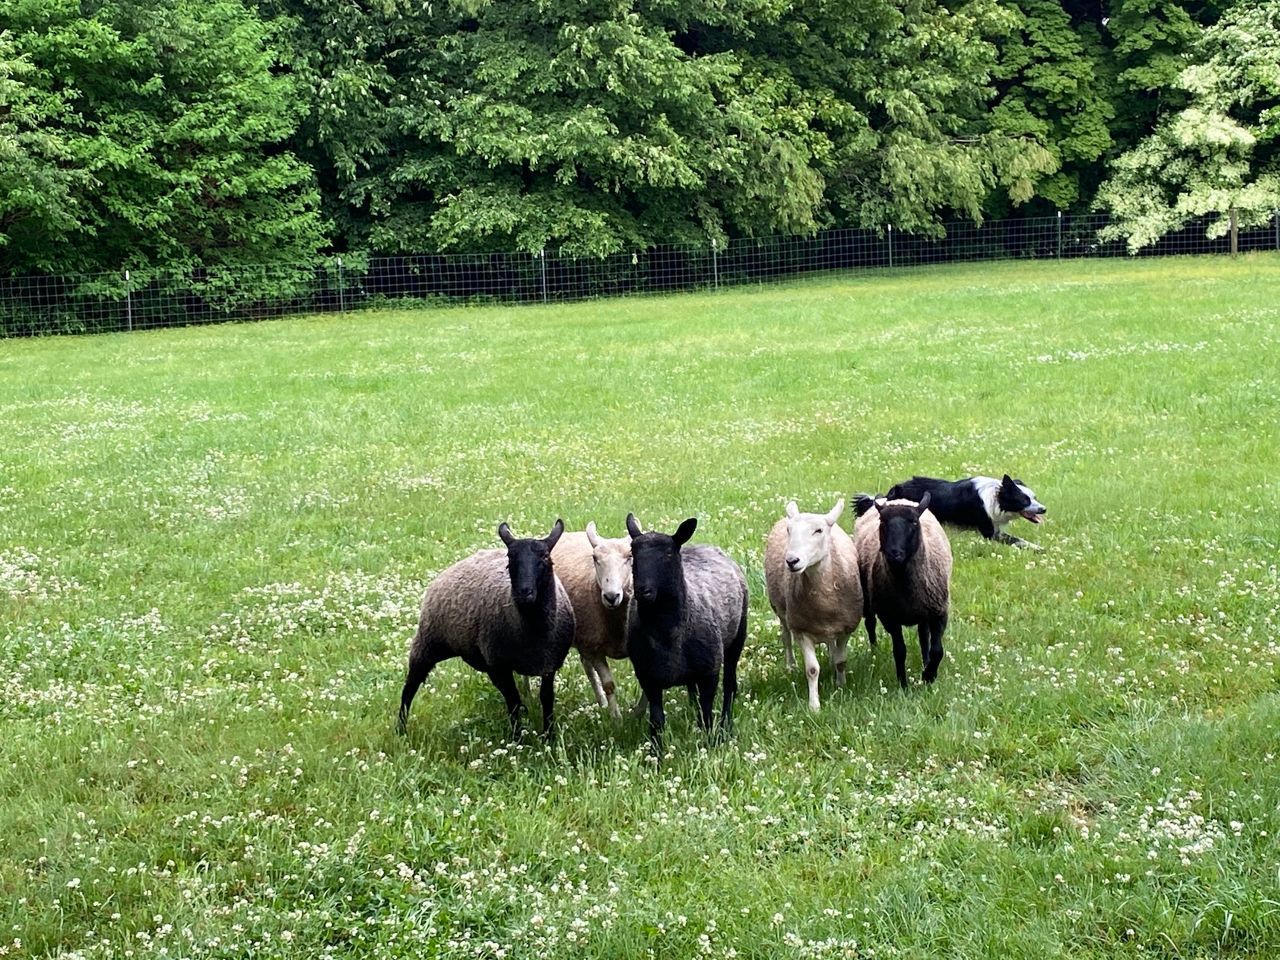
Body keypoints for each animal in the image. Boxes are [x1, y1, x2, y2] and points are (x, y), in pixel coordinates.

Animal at [555, 527, 640, 721]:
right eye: (595, 558)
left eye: (630, 556)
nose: (611, 596)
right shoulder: (594, 649)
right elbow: (608, 684)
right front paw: (617, 720)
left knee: (586, 666)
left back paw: (601, 702)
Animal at [622, 514, 747, 757]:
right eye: (633, 553)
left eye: (669, 554)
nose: (642, 590)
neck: (666, 633)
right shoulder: (648, 677)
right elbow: (657, 720)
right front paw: (656, 755)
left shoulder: (709, 671)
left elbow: (707, 713)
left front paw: (710, 744)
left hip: (737, 638)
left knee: (730, 685)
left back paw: (726, 726)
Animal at [762, 499, 865, 711]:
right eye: (789, 530)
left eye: (819, 530)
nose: (792, 561)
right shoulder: (802, 630)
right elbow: (812, 669)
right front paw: (814, 706)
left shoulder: (846, 628)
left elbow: (841, 661)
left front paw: (840, 686)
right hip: (781, 611)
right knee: (786, 637)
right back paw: (791, 666)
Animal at [849, 496, 952, 691]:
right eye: (883, 521)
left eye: (914, 522)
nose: (893, 553)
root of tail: (892, 499)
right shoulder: (890, 617)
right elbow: (900, 651)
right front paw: (903, 685)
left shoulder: (939, 612)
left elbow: (937, 650)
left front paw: (928, 676)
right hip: (867, 596)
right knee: (870, 623)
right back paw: (874, 651)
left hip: (924, 608)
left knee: (923, 635)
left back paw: (925, 661)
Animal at [860, 473, 1049, 547]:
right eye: (1024, 500)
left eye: (1035, 497)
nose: (1044, 509)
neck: (995, 496)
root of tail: (893, 491)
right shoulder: (989, 532)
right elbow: (1018, 541)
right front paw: (1038, 549)